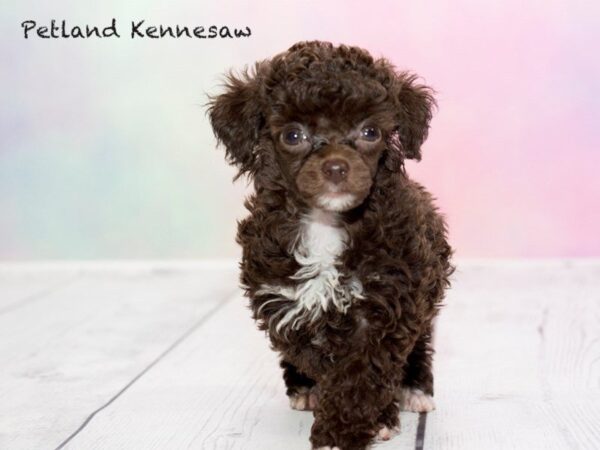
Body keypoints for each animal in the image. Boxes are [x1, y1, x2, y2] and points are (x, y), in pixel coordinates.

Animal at [209, 40, 452, 448]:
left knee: (418, 344)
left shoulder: (390, 299)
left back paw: (414, 389)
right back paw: (305, 389)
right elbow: (320, 360)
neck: (325, 224)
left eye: (370, 132)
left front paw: (347, 428)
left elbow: (361, 372)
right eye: (293, 136)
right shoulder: (285, 300)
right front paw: (338, 410)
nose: (336, 167)